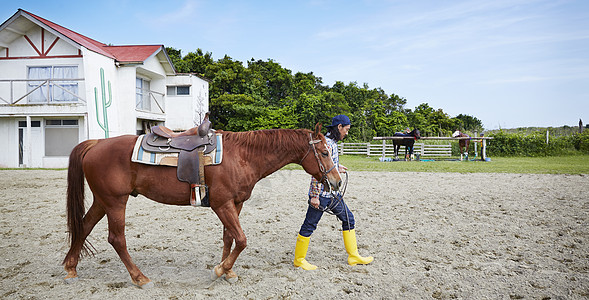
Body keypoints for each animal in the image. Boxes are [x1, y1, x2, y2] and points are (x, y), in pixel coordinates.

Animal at [62, 123, 340, 288]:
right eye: (325, 153)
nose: (336, 181)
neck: (242, 156)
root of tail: (96, 143)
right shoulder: (222, 204)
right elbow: (242, 239)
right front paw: (219, 270)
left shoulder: (235, 204)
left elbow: (230, 237)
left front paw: (228, 271)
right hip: (115, 202)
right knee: (116, 238)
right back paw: (139, 277)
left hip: (103, 201)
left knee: (84, 226)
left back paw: (71, 267)